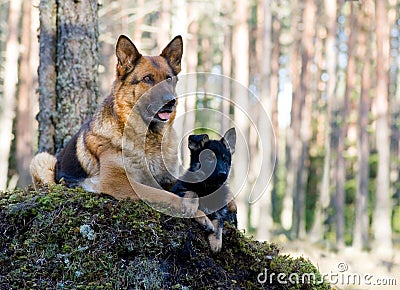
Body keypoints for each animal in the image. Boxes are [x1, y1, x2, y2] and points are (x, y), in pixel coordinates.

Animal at [30, 35, 219, 231]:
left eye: (169, 79)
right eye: (147, 78)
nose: (171, 101)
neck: (149, 139)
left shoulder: (170, 179)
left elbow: (189, 188)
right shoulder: (119, 182)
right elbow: (162, 194)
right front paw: (195, 210)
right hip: (42, 160)